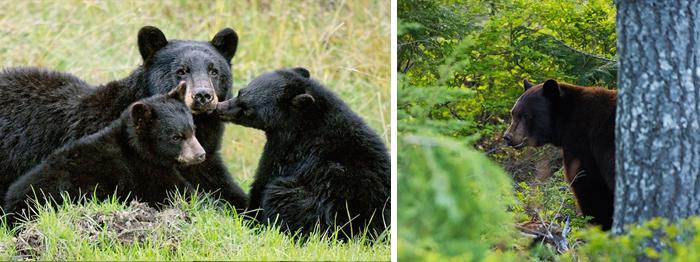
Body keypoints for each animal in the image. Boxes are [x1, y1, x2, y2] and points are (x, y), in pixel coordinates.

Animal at [5, 82, 200, 227]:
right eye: (176, 137)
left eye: (192, 129)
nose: (201, 154)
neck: (137, 149)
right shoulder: (143, 172)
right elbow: (175, 191)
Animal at [217, 67, 392, 239]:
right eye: (240, 92)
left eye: (247, 107)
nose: (219, 108)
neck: (305, 121)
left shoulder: (286, 148)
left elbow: (263, 179)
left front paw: (248, 218)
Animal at [500, 79, 616, 230]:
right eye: (513, 113)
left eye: (526, 115)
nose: (507, 136)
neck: (566, 116)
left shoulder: (581, 140)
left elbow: (587, 180)